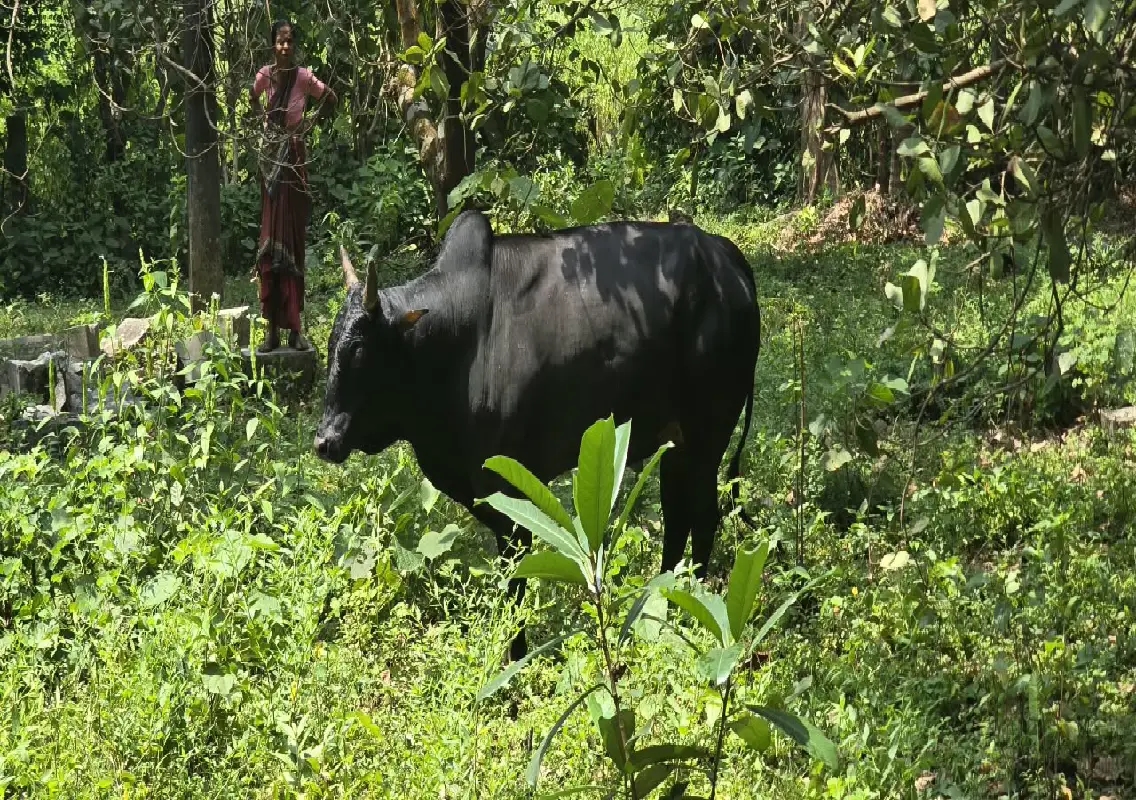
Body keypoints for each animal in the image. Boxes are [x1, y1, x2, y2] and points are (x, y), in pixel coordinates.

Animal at [314, 210, 760, 660]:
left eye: (360, 350)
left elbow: (515, 581)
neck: (451, 347)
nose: (325, 440)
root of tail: (726, 257)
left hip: (709, 433)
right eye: (331, 345)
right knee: (677, 514)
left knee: (704, 515)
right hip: (675, 443)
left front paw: (516, 656)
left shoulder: (508, 493)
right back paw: (659, 601)